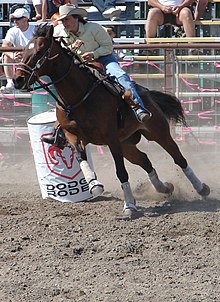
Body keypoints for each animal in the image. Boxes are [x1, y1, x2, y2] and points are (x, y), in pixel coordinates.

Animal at [13, 23, 210, 217]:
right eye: (24, 50)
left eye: (40, 50)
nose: (17, 79)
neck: (77, 97)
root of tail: (147, 94)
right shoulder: (72, 135)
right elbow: (80, 157)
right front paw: (94, 184)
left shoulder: (111, 138)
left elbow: (121, 172)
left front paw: (129, 206)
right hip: (127, 144)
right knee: (145, 160)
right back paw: (164, 188)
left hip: (157, 132)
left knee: (179, 158)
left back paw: (201, 188)